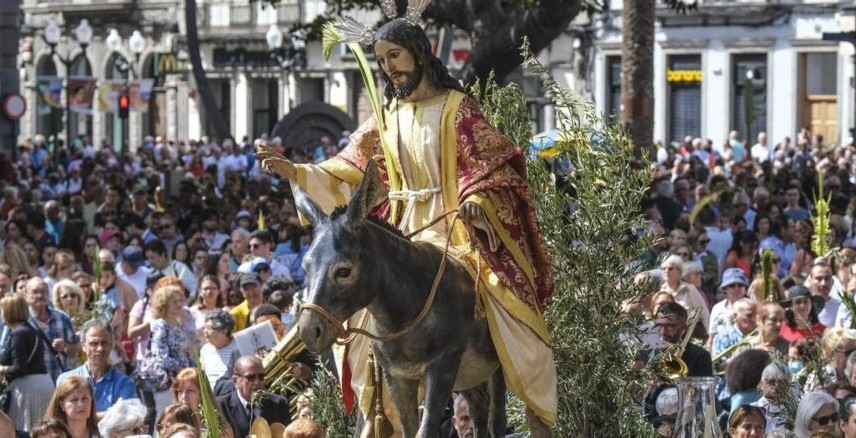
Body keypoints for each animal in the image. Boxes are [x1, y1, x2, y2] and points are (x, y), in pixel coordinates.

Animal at [294, 160, 511, 438]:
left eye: (343, 271)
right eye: (305, 267)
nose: (309, 330)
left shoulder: (442, 367)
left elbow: (426, 430)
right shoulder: (396, 376)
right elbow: (410, 429)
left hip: (498, 361)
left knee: (499, 418)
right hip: (468, 374)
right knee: (479, 409)